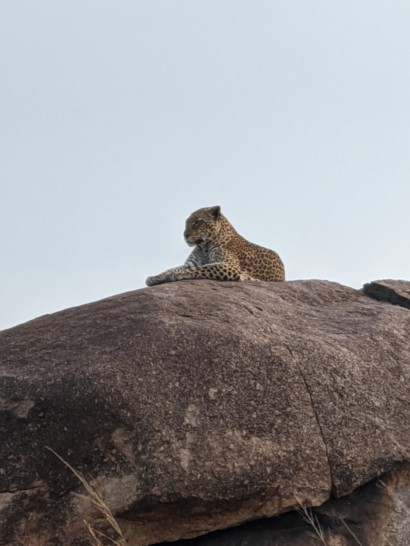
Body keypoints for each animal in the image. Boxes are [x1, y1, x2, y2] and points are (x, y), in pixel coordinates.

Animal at [147, 205, 286, 286]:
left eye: (198, 222)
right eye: (186, 223)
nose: (185, 235)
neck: (204, 246)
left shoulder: (230, 266)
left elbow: (201, 268)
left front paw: (176, 275)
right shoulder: (190, 263)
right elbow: (171, 269)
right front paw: (155, 277)